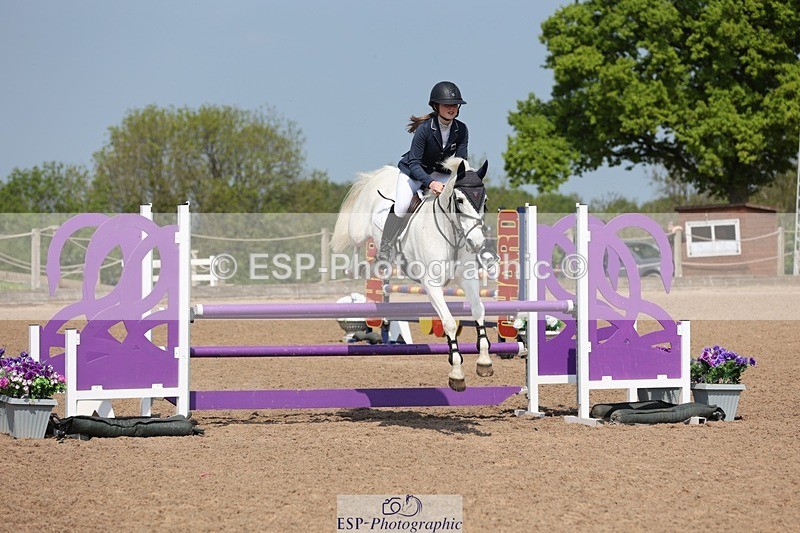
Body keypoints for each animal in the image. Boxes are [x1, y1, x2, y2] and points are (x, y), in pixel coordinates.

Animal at [331, 157, 496, 392]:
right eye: (460, 200)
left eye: (484, 200)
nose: (477, 243)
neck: (451, 233)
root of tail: (381, 174)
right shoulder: (432, 285)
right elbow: (449, 322)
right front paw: (456, 373)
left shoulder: (468, 279)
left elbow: (479, 311)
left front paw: (484, 361)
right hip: (358, 230)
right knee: (355, 245)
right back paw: (355, 268)